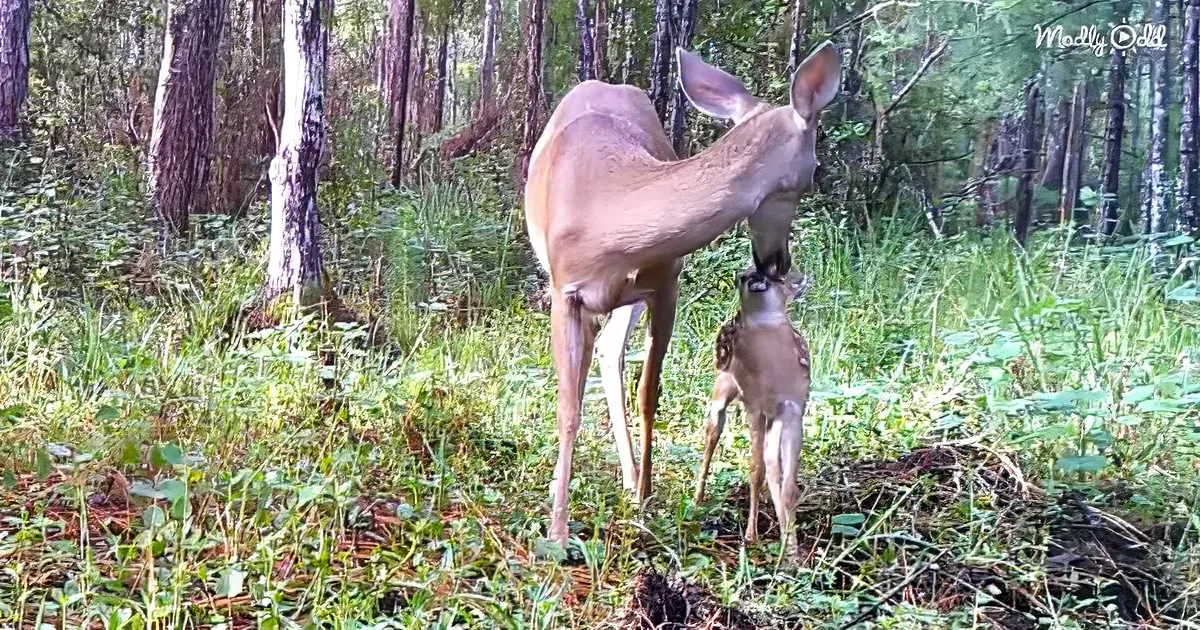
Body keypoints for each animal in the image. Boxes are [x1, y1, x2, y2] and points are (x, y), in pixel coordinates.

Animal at [694, 268, 812, 557]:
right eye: (777, 277)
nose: (803, 279)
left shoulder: (794, 410)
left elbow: (787, 483)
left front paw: (791, 549)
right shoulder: (754, 406)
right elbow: (756, 471)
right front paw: (751, 536)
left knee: (771, 464)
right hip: (723, 389)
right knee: (712, 432)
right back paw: (697, 498)